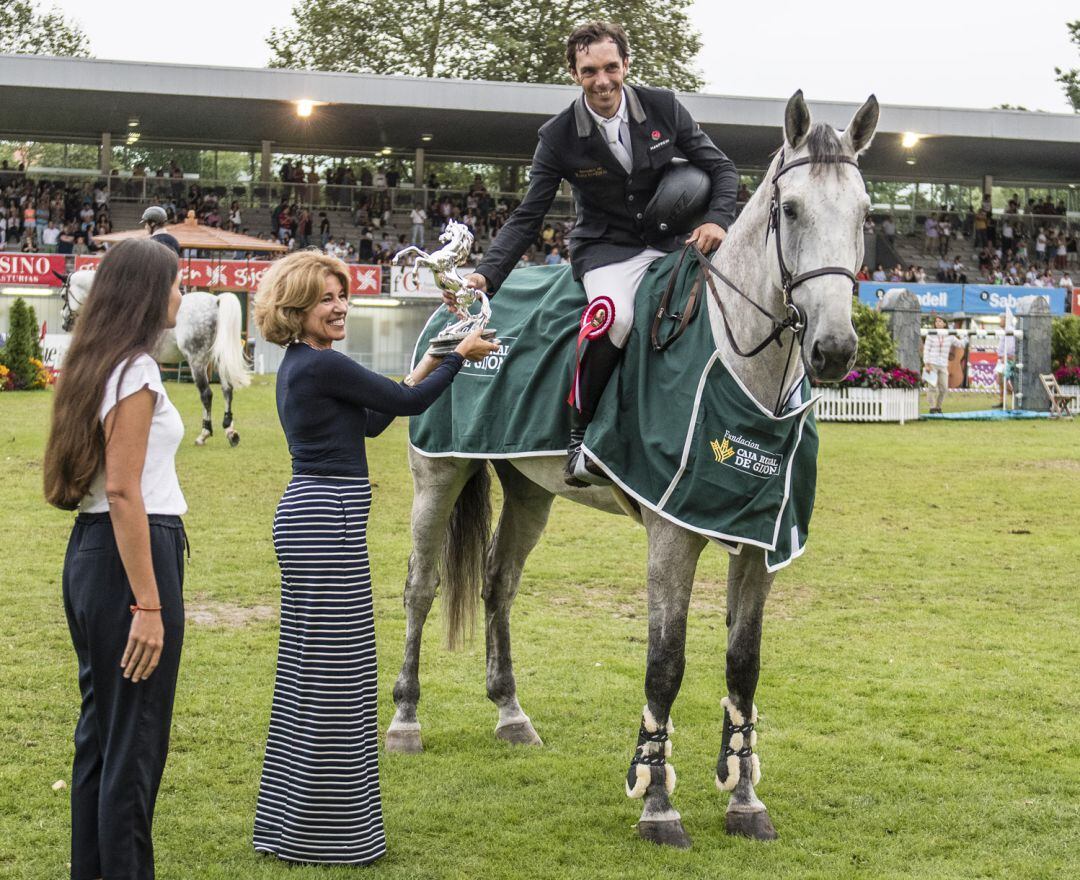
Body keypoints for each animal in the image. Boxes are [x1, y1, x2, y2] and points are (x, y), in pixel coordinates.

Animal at [62, 268, 251, 447]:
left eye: (63, 295)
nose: (65, 323)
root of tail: (216, 301)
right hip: (218, 359)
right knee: (227, 389)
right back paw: (230, 431)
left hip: (197, 361)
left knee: (206, 394)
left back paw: (204, 434)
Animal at [388, 92, 876, 850]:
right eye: (790, 209)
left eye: (865, 214)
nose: (833, 349)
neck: (741, 366)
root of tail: (460, 306)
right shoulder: (672, 535)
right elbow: (665, 662)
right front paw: (657, 803)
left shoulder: (759, 544)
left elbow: (744, 663)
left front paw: (744, 799)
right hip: (437, 477)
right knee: (422, 586)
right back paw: (407, 720)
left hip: (529, 491)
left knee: (499, 584)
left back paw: (510, 713)